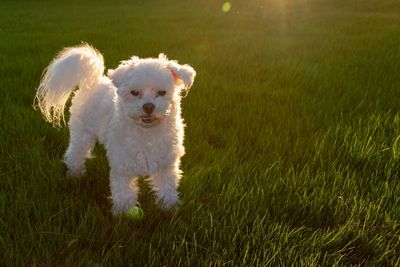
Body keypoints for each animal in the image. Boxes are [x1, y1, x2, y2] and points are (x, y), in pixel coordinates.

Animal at [35, 44, 196, 216]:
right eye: (134, 92)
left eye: (162, 92)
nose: (148, 106)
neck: (147, 133)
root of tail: (93, 81)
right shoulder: (122, 165)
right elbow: (124, 192)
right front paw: (124, 213)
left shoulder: (166, 165)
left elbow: (167, 187)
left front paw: (169, 207)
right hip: (82, 135)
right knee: (75, 154)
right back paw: (75, 175)